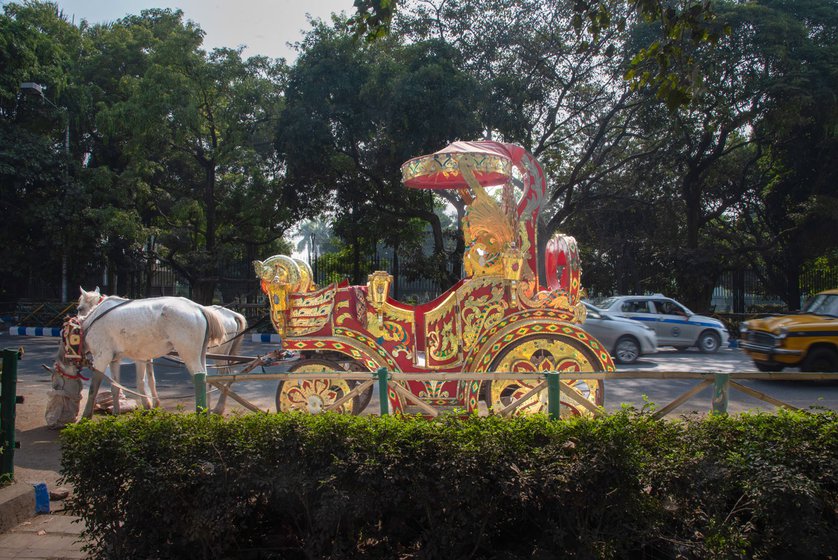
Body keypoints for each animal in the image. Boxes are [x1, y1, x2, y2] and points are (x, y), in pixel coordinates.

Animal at [57, 286, 228, 418]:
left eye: (80, 308)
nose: (63, 361)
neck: (89, 324)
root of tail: (198, 308)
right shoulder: (118, 358)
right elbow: (117, 386)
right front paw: (117, 412)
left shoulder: (101, 357)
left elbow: (94, 387)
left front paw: (86, 415)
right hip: (201, 352)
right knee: (205, 379)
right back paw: (205, 411)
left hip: (188, 352)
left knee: (199, 378)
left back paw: (201, 412)